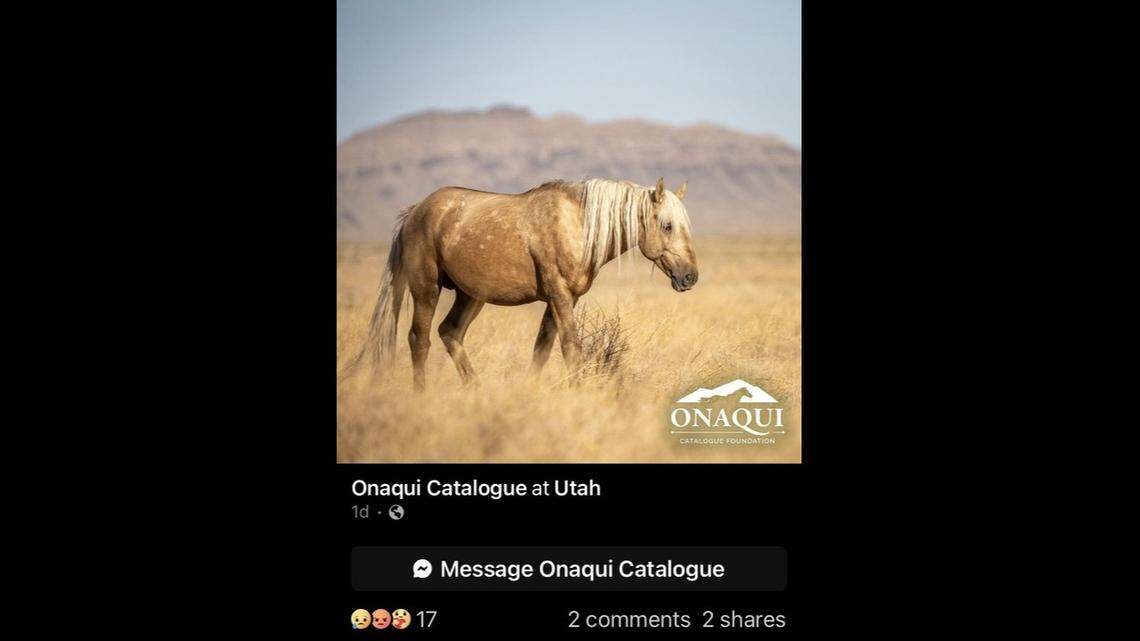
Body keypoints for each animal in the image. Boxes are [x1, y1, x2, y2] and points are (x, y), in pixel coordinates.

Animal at [345, 177, 698, 391]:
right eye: (667, 225)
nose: (690, 277)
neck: (577, 225)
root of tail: (414, 212)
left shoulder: (563, 299)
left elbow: (542, 349)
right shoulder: (559, 296)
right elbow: (570, 349)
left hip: (470, 296)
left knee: (450, 333)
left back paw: (476, 391)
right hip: (426, 290)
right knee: (419, 340)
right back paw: (422, 395)